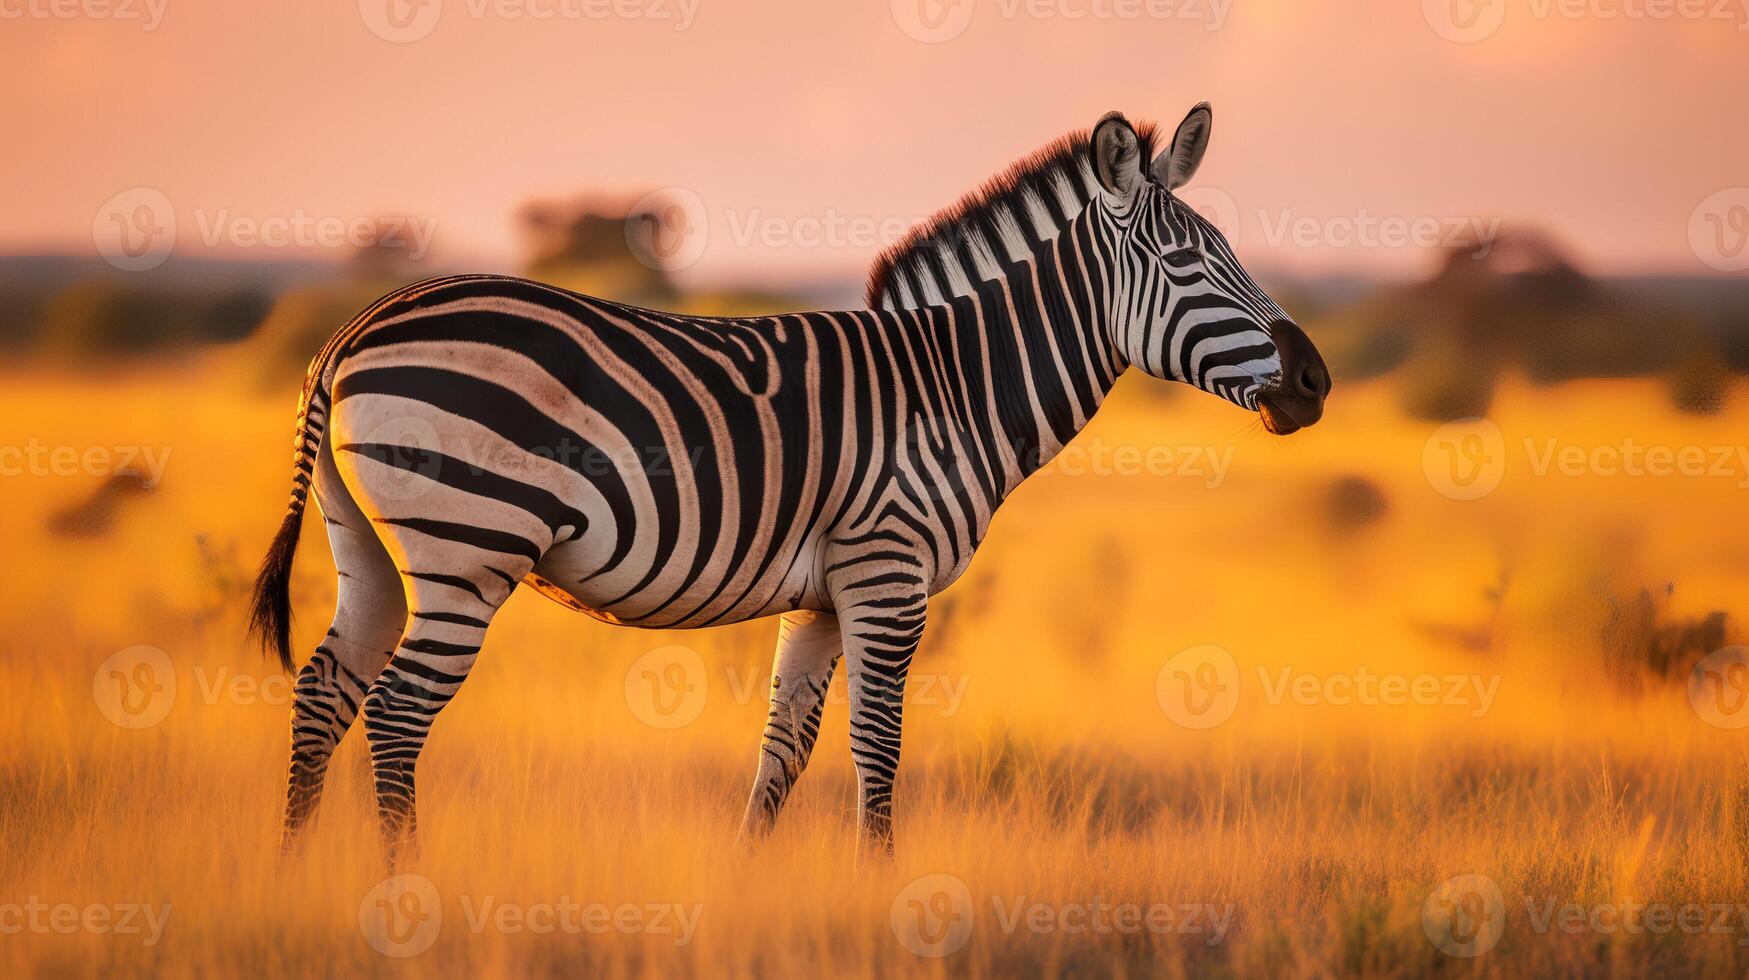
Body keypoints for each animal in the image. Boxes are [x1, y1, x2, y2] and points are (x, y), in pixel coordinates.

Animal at [253, 103, 1329, 861]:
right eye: (1187, 262)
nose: (1315, 381)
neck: (953, 383)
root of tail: (356, 327)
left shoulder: (820, 596)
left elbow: (784, 749)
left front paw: (744, 883)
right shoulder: (887, 574)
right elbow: (877, 744)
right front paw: (883, 892)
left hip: (371, 548)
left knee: (325, 689)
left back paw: (295, 875)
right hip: (468, 545)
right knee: (396, 713)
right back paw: (404, 891)